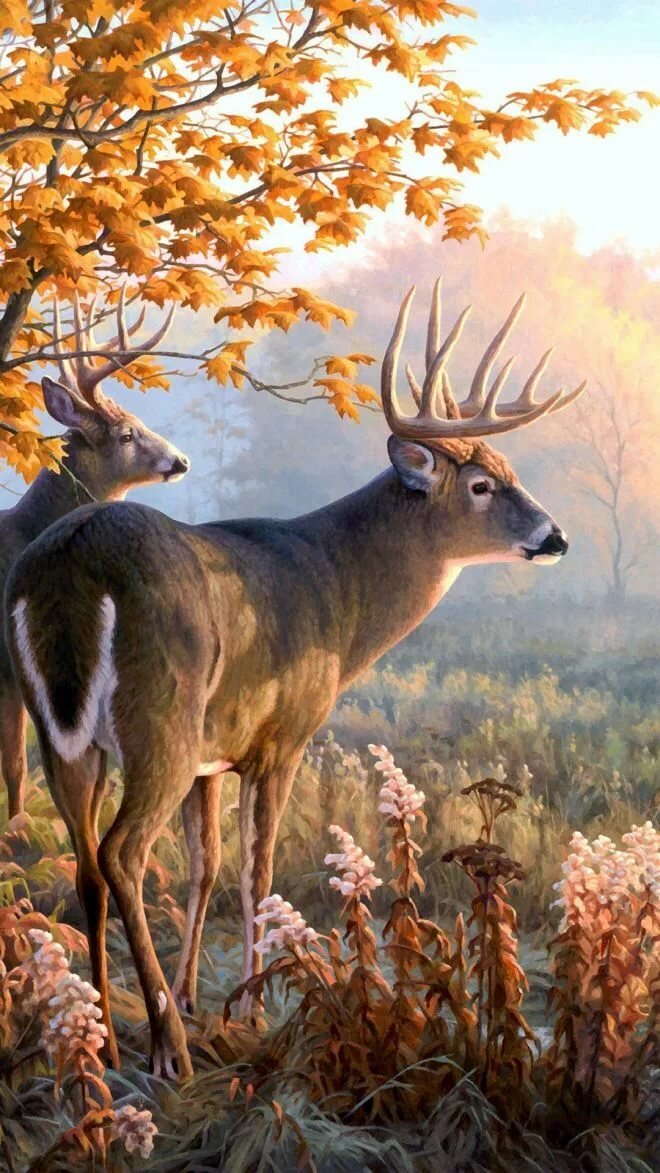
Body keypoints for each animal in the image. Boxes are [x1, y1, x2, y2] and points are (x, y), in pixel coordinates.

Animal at [0, 291, 189, 818]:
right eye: (125, 434)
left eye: (141, 422)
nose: (181, 460)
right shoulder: (8, 671)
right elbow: (16, 765)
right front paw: (17, 825)